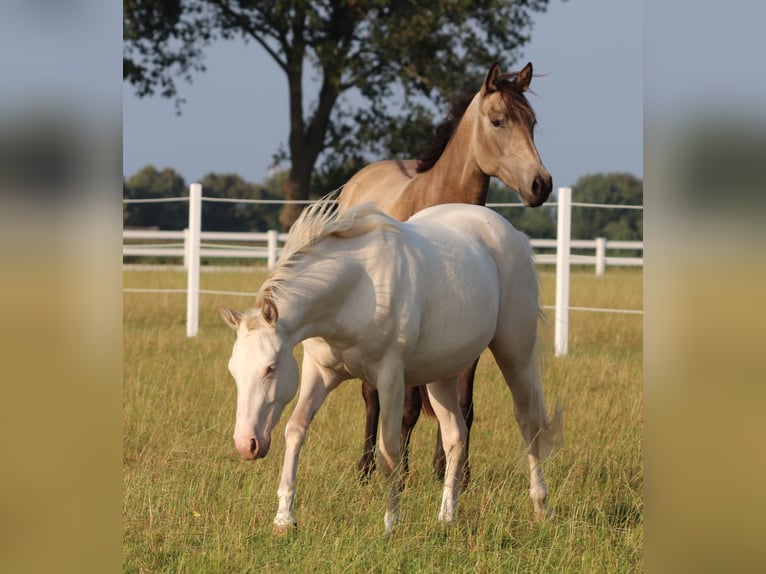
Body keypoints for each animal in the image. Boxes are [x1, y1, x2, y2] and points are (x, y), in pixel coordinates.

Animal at [220, 198, 562, 535]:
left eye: (270, 368)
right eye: (234, 371)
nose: (246, 444)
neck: (357, 289)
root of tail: (512, 234)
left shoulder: (390, 379)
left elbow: (389, 452)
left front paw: (390, 524)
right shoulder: (320, 374)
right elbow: (296, 431)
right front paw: (284, 518)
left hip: (514, 352)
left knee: (528, 423)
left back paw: (540, 505)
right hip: (441, 374)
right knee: (455, 436)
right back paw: (446, 517)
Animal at [338, 61, 553, 484]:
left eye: (534, 122)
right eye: (498, 120)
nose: (541, 184)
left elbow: (462, 406)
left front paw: (454, 472)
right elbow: (406, 407)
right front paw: (402, 473)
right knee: (372, 398)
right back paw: (367, 467)